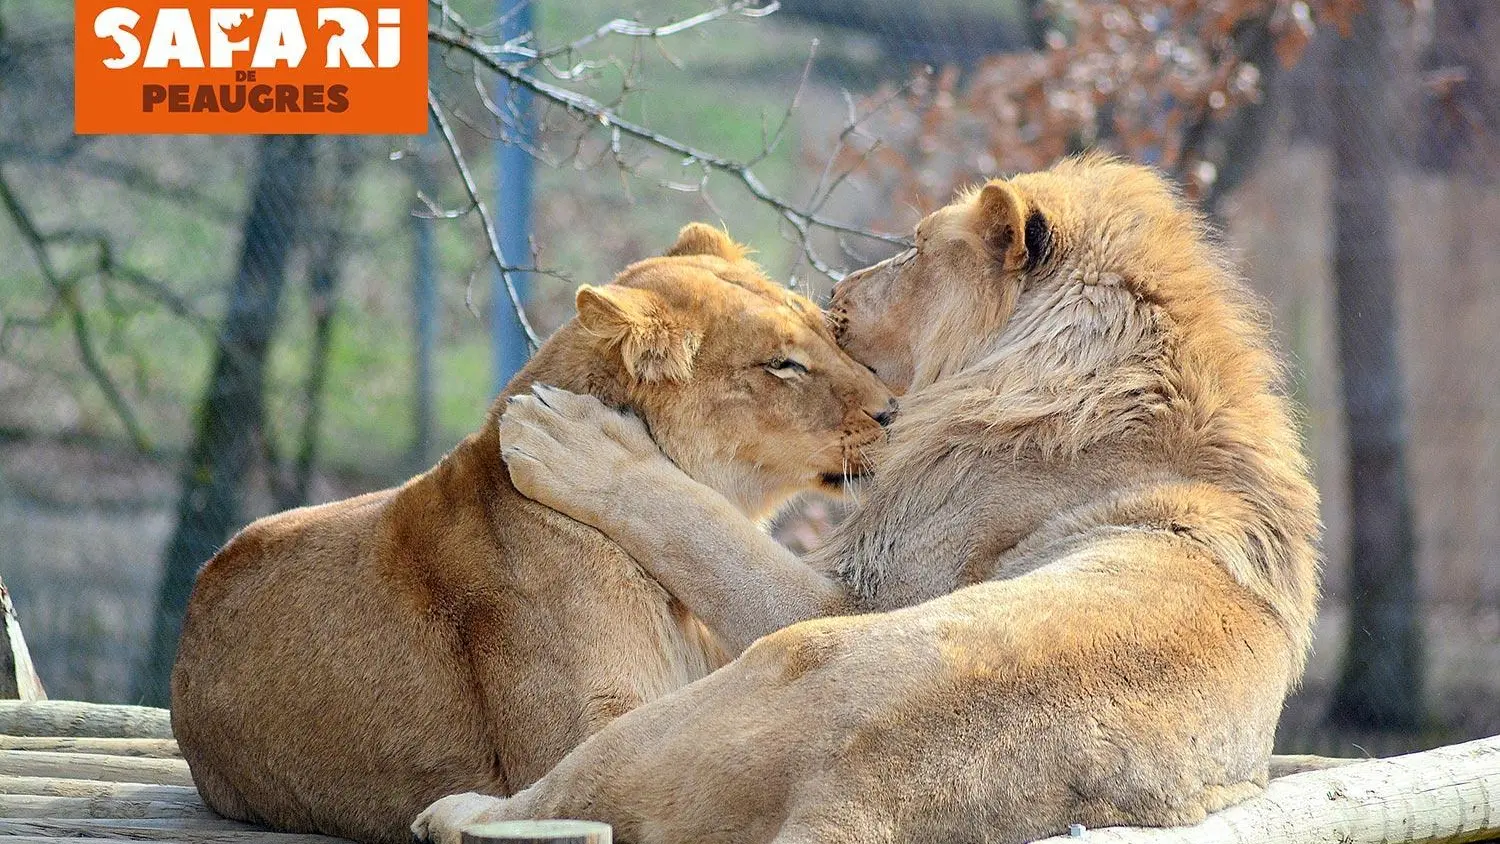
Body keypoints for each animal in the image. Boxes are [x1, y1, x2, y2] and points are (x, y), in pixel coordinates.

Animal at [417, 153, 1320, 844]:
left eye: (915, 249)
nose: (839, 291)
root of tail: (868, 795)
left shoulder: (859, 588)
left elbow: (700, 525)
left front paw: (574, 441)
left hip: (770, 663)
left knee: (557, 791)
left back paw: (456, 810)